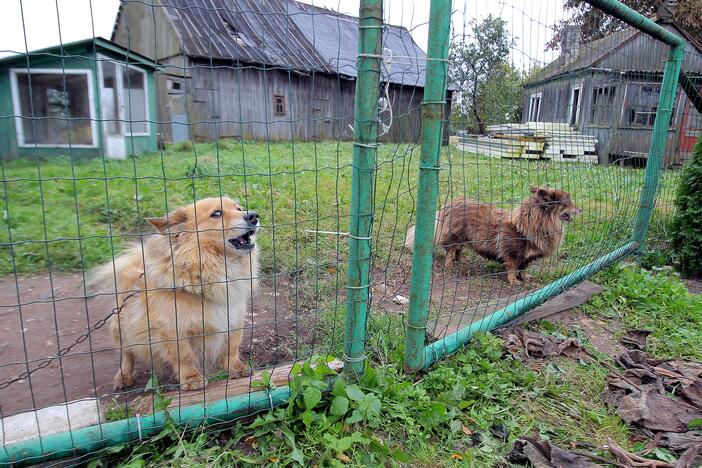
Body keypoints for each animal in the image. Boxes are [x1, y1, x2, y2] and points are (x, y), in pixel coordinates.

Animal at [90, 197, 262, 392]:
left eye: (239, 208)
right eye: (216, 213)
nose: (253, 215)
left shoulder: (233, 320)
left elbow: (231, 349)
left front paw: (236, 369)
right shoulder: (173, 329)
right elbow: (185, 356)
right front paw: (192, 379)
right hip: (121, 329)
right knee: (126, 355)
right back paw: (124, 377)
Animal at [408, 185, 584, 284]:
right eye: (567, 204)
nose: (581, 210)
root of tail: (451, 203)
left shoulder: (526, 257)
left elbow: (523, 268)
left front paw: (525, 278)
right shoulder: (512, 254)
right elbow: (512, 269)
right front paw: (514, 282)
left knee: (458, 250)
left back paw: (459, 261)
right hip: (455, 236)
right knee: (451, 251)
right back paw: (450, 265)